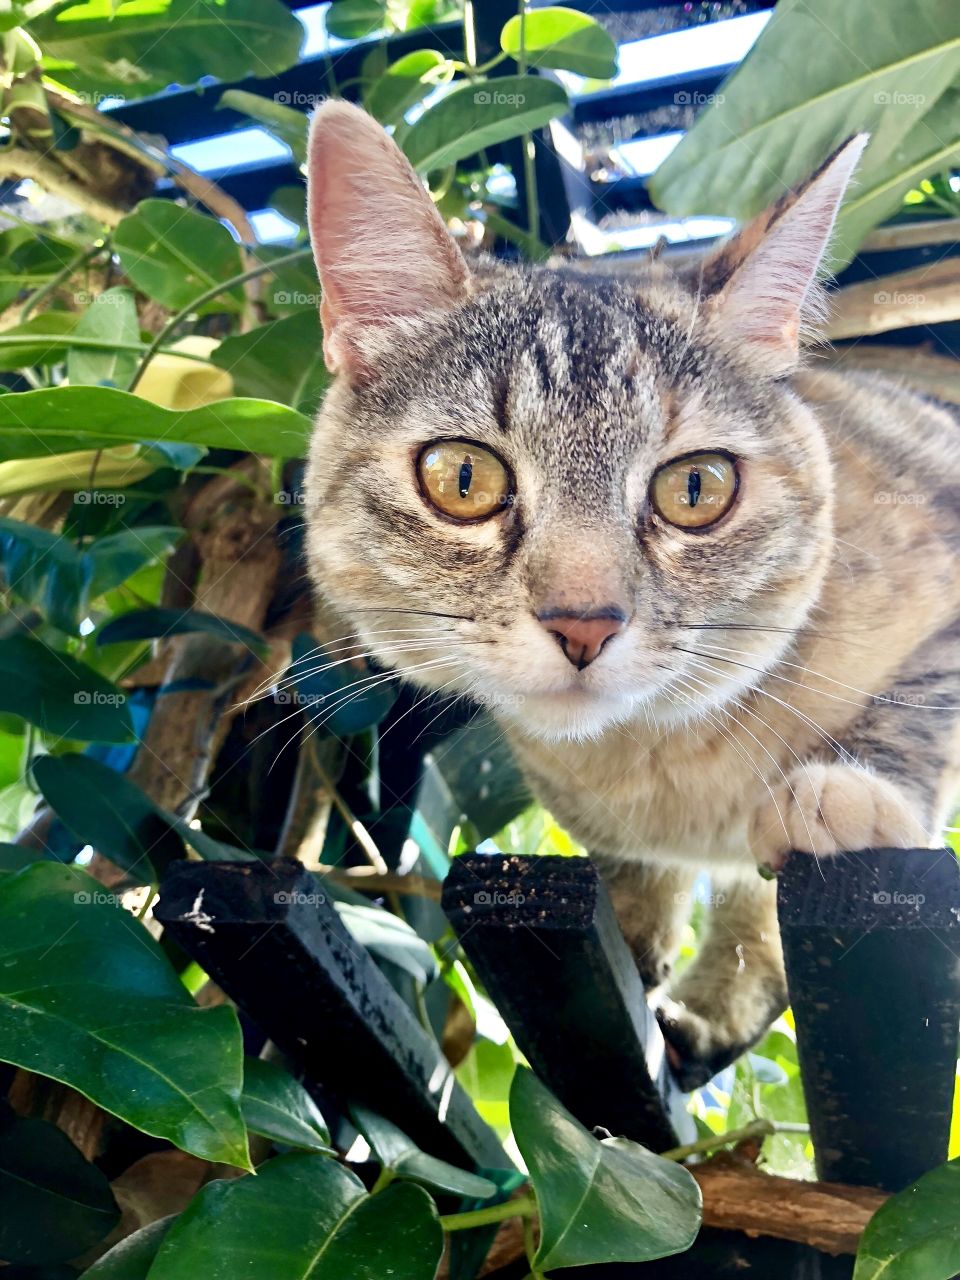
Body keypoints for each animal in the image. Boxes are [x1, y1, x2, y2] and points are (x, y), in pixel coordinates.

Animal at [302, 99, 960, 1090]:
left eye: (696, 488)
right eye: (464, 478)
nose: (584, 623)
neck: (665, 762)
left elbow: (920, 702)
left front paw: (852, 790)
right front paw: (644, 942)